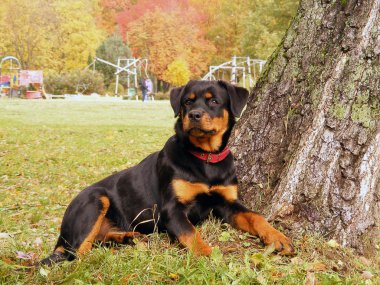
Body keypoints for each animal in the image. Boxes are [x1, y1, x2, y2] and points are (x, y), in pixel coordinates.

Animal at [40, 79, 294, 264]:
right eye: (187, 102)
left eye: (214, 101)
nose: (194, 115)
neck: (205, 160)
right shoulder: (172, 209)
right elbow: (191, 233)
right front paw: (207, 255)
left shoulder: (227, 203)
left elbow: (256, 216)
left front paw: (278, 238)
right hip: (95, 199)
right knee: (76, 252)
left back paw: (129, 238)